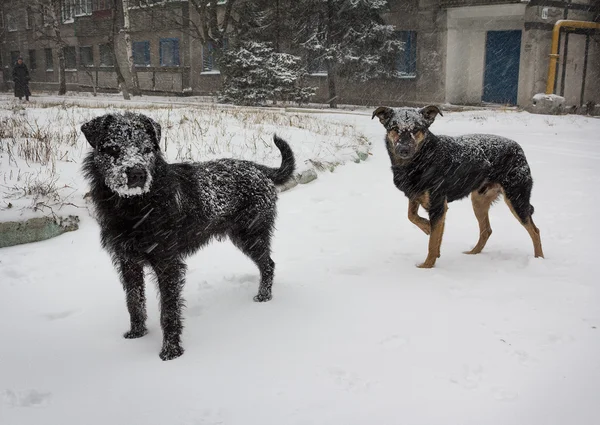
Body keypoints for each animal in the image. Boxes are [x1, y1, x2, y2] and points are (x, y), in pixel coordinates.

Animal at [79, 111, 296, 360]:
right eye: (114, 148)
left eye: (147, 149)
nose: (137, 173)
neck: (136, 205)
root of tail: (261, 170)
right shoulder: (128, 261)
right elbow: (134, 300)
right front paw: (137, 333)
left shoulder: (167, 263)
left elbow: (168, 310)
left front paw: (171, 351)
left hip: (251, 234)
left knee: (268, 264)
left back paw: (263, 296)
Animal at [370, 104, 544, 266]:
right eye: (394, 129)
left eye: (417, 129)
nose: (404, 150)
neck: (422, 159)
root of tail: (518, 148)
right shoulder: (416, 196)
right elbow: (412, 216)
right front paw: (427, 228)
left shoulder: (438, 205)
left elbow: (432, 243)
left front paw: (426, 267)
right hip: (479, 200)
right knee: (486, 230)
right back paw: (473, 253)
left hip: (516, 198)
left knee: (535, 231)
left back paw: (539, 259)